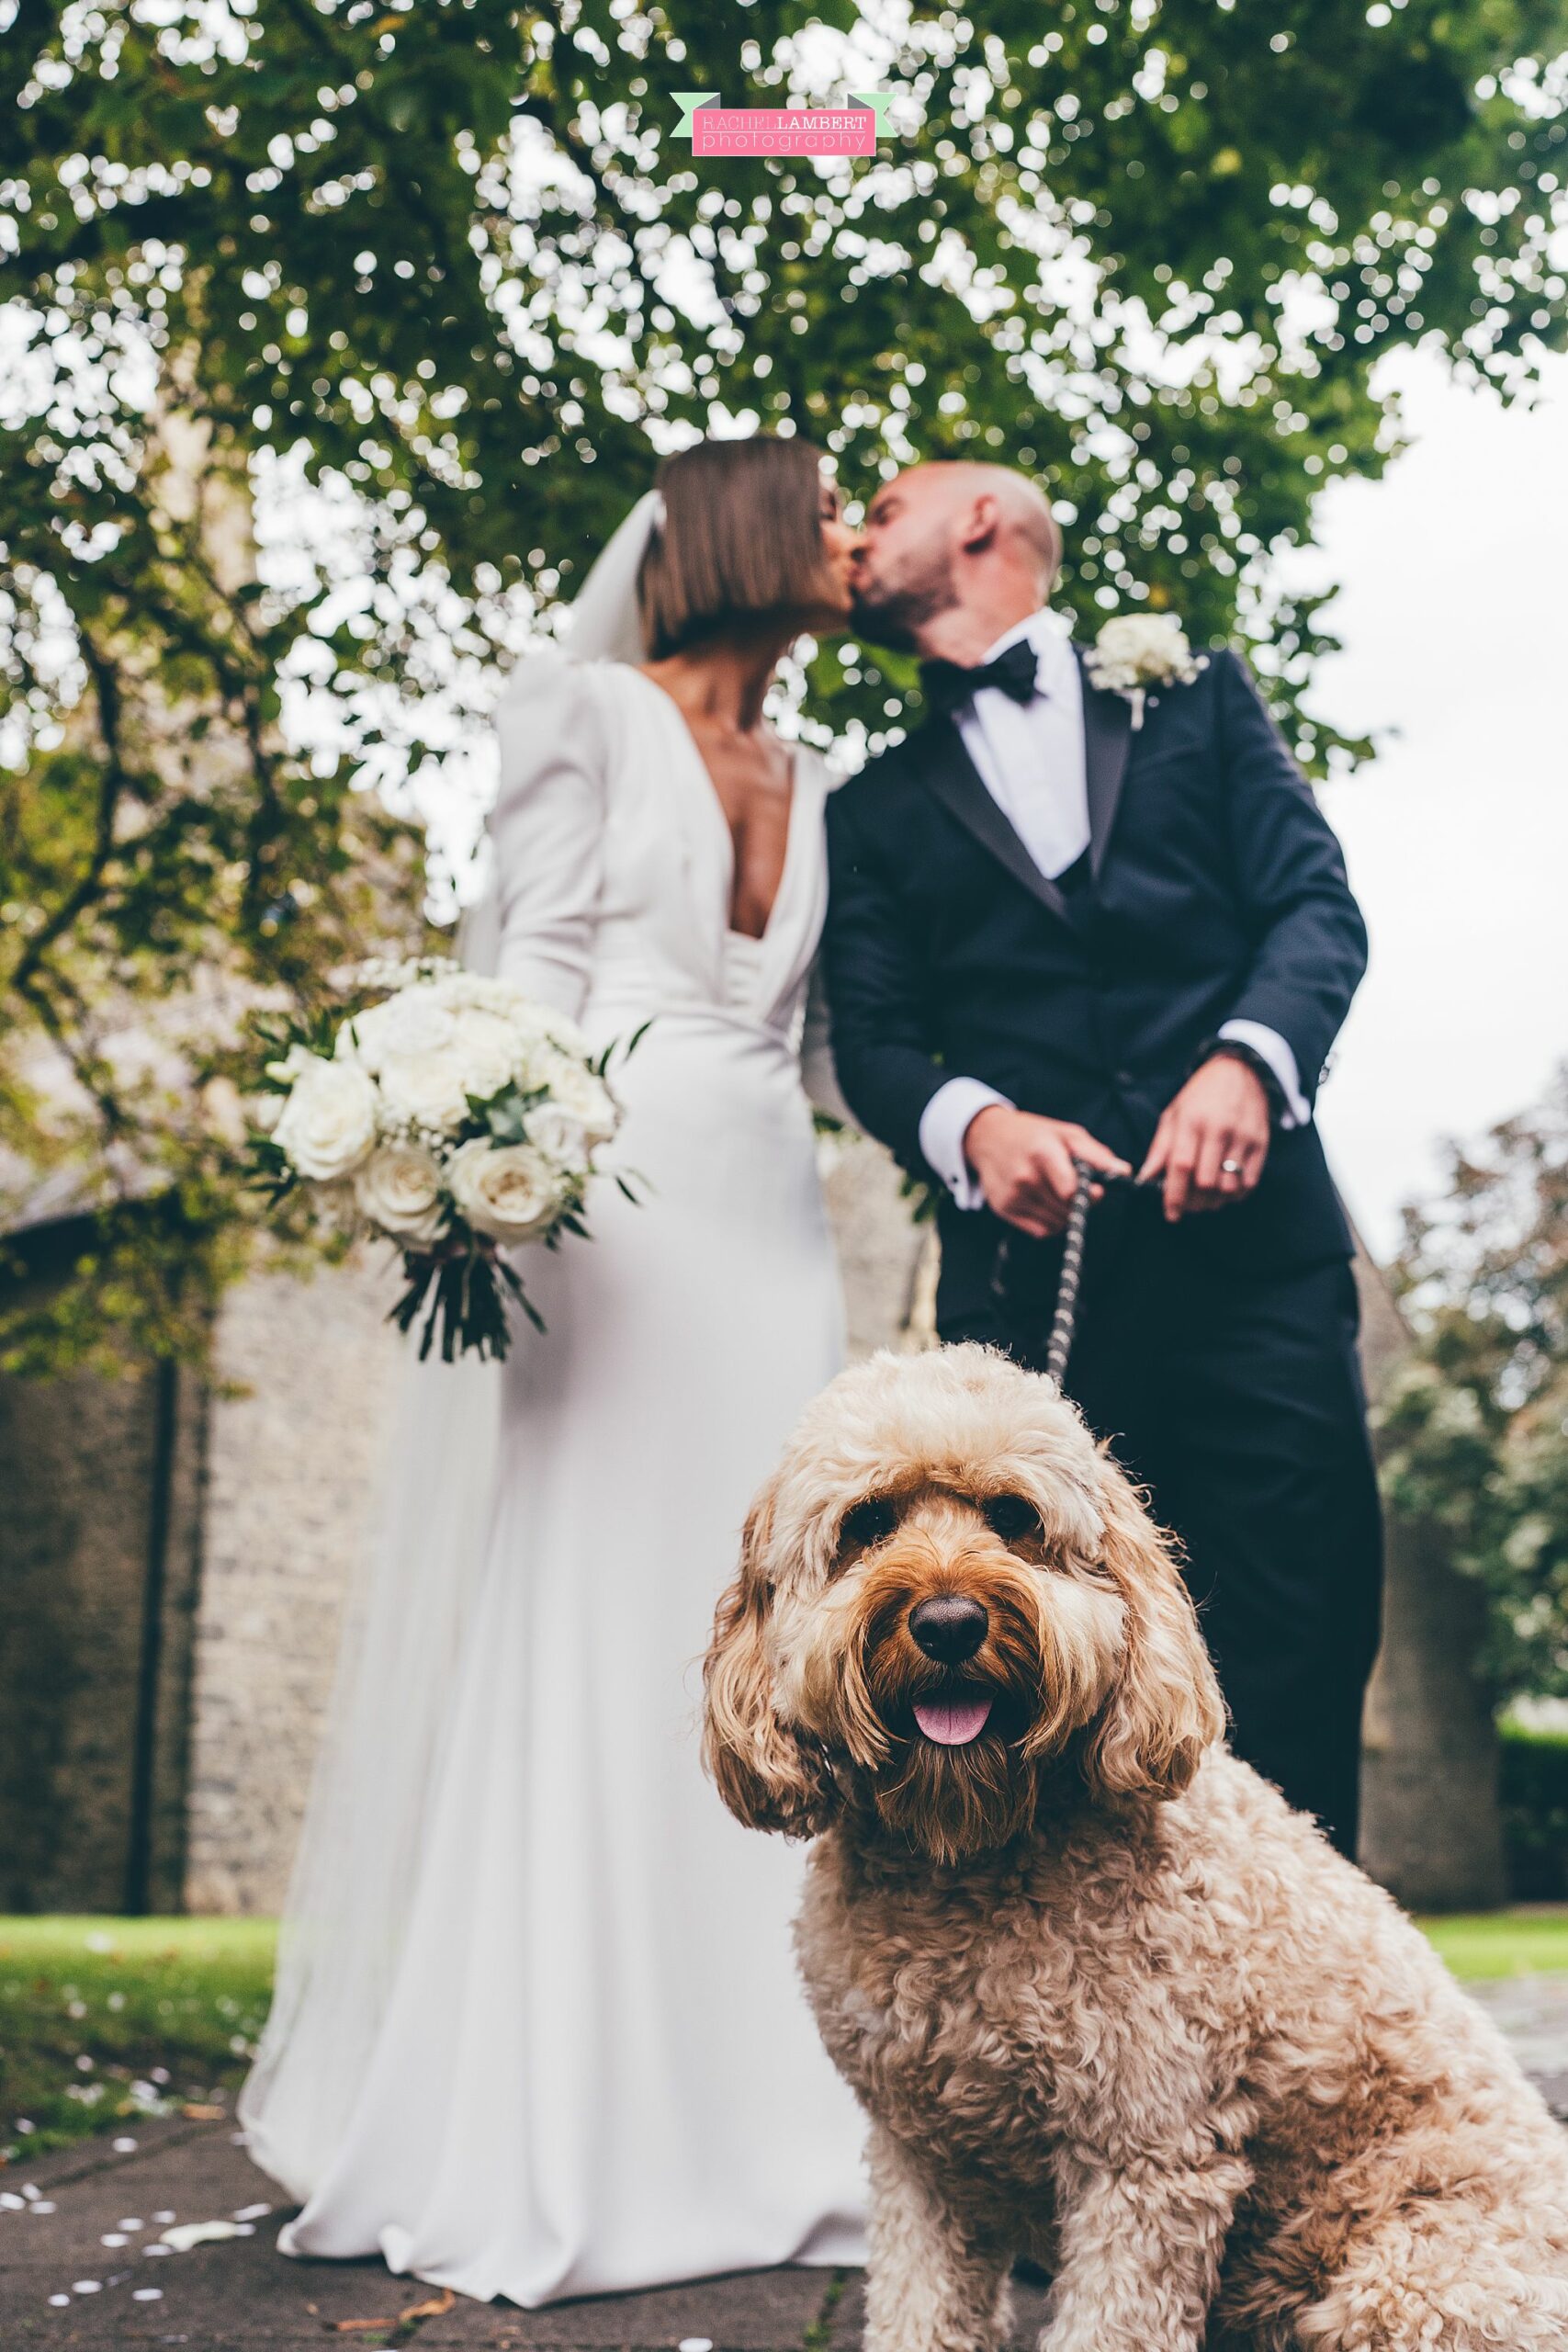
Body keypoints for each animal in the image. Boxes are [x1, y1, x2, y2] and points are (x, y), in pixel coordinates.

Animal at [709, 1345, 1568, 2352]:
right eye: (867, 1524)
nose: (950, 1621)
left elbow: (1111, 2318)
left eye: (1015, 1518)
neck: (970, 1852)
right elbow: (920, 2306)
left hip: (1411, 2280)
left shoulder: (1145, 2152)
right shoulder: (920, 2154)